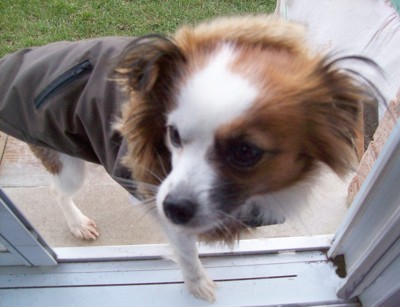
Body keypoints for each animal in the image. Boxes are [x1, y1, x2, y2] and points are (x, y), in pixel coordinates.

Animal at [0, 15, 378, 302]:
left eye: (245, 152)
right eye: (173, 134)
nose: (172, 207)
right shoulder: (172, 214)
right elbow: (188, 255)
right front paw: (198, 284)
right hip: (66, 160)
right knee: (58, 190)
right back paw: (78, 222)